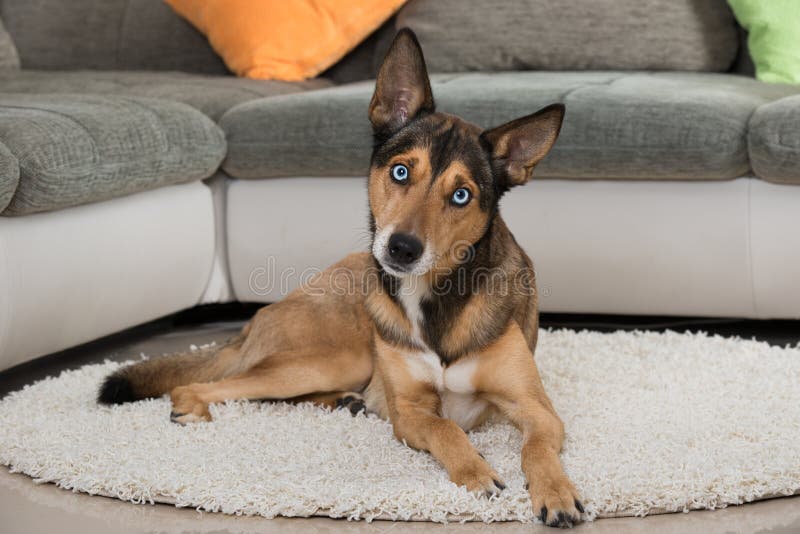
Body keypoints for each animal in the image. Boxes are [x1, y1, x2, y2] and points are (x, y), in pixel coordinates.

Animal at [98, 29, 582, 528]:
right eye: (401, 171)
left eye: (462, 195)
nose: (401, 248)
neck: (436, 298)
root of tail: (257, 318)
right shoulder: (409, 413)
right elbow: (445, 428)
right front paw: (476, 471)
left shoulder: (538, 410)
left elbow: (537, 447)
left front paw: (556, 492)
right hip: (337, 357)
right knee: (204, 384)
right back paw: (193, 407)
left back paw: (340, 402)